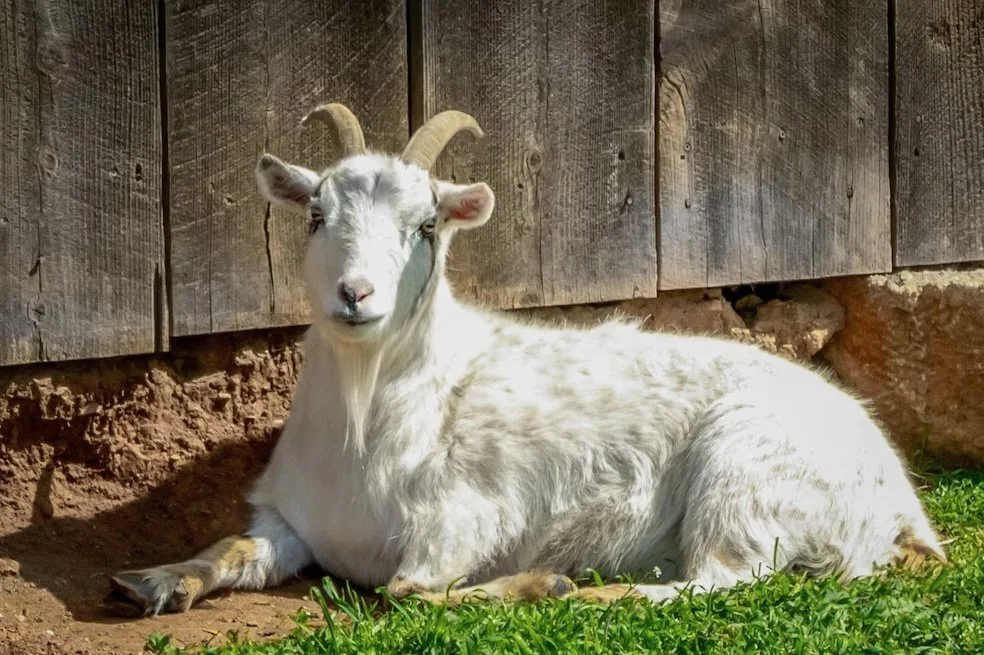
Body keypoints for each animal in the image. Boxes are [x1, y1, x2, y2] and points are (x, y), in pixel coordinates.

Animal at [105, 103, 944, 616]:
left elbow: (404, 592)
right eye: (315, 214)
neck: (371, 415)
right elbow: (235, 545)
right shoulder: (290, 517)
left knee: (715, 583)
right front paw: (153, 578)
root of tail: (903, 510)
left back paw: (587, 588)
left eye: (426, 226)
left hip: (743, 477)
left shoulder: (458, 524)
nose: (356, 293)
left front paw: (539, 581)